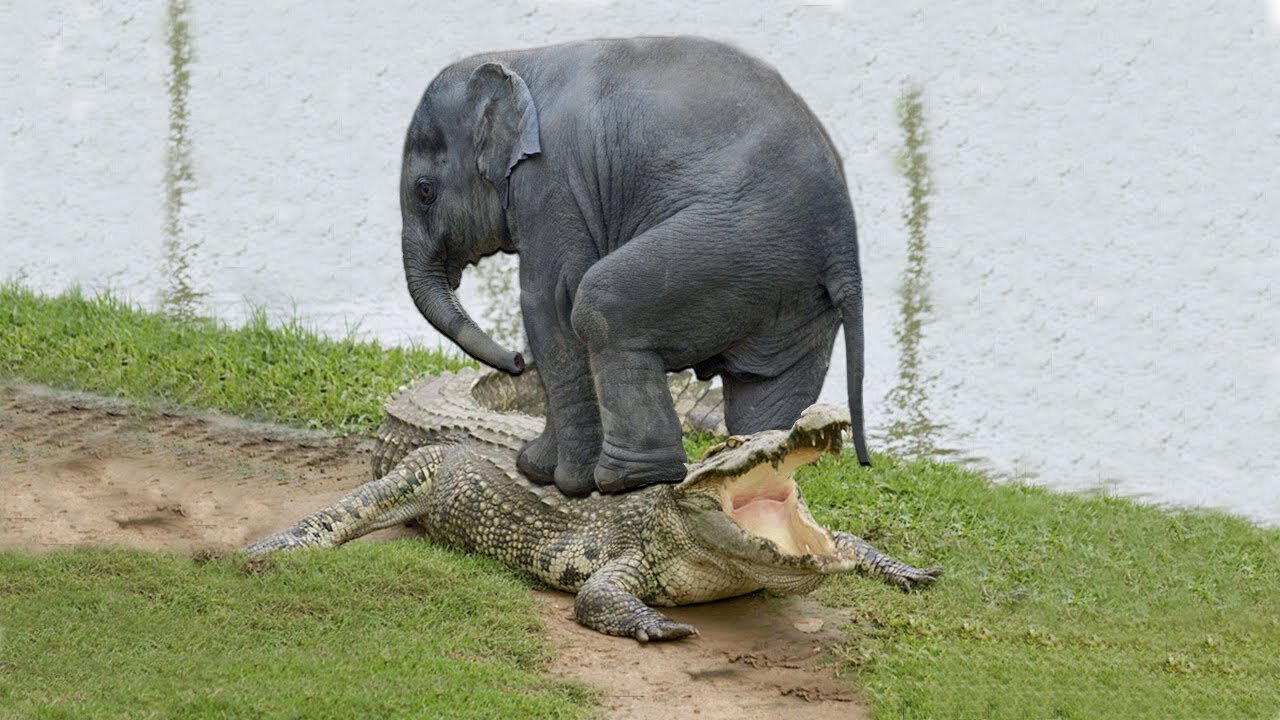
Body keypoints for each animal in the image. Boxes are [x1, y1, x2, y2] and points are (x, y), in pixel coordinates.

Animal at [399, 36, 870, 497]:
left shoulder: (552, 182)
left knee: (600, 307)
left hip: (736, 243)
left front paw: (558, 480)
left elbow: (549, 304)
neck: (519, 59)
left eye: (424, 191)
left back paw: (629, 480)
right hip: (793, 289)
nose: (514, 361)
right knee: (763, 383)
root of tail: (844, 244)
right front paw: (538, 470)